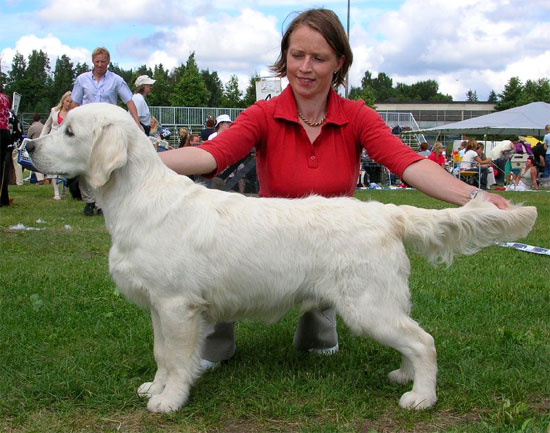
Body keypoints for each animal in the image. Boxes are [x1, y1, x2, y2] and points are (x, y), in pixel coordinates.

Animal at [25, 104, 540, 412]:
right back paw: (405, 378)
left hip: (367, 306)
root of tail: (387, 212)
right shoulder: (160, 305)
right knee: (412, 340)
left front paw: (169, 400)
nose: (27, 147)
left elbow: (174, 356)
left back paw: (422, 397)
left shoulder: (176, 305)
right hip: (382, 304)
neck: (137, 197)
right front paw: (157, 386)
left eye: (69, 130)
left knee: (424, 341)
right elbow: (160, 353)